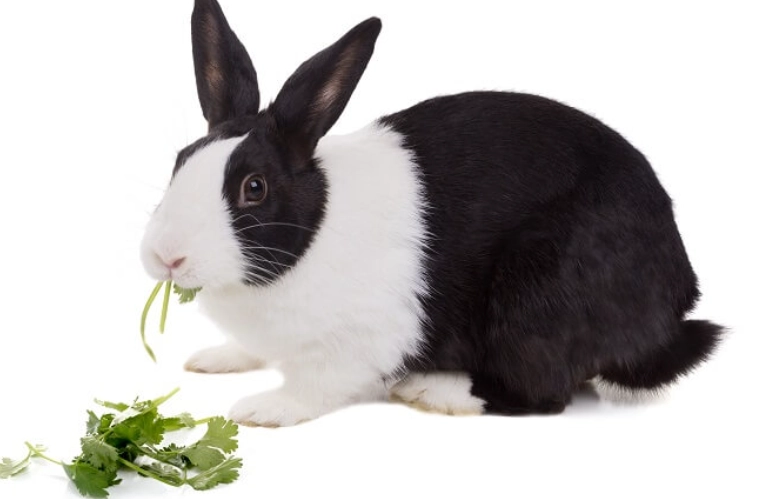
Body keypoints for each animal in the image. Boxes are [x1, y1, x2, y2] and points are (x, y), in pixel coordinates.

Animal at [140, 0, 723, 427]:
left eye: (254, 188)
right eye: (179, 162)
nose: (167, 257)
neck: (311, 234)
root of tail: (671, 310)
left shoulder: (360, 342)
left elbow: (317, 385)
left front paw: (262, 409)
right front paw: (215, 359)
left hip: (538, 292)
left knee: (540, 392)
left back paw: (432, 389)